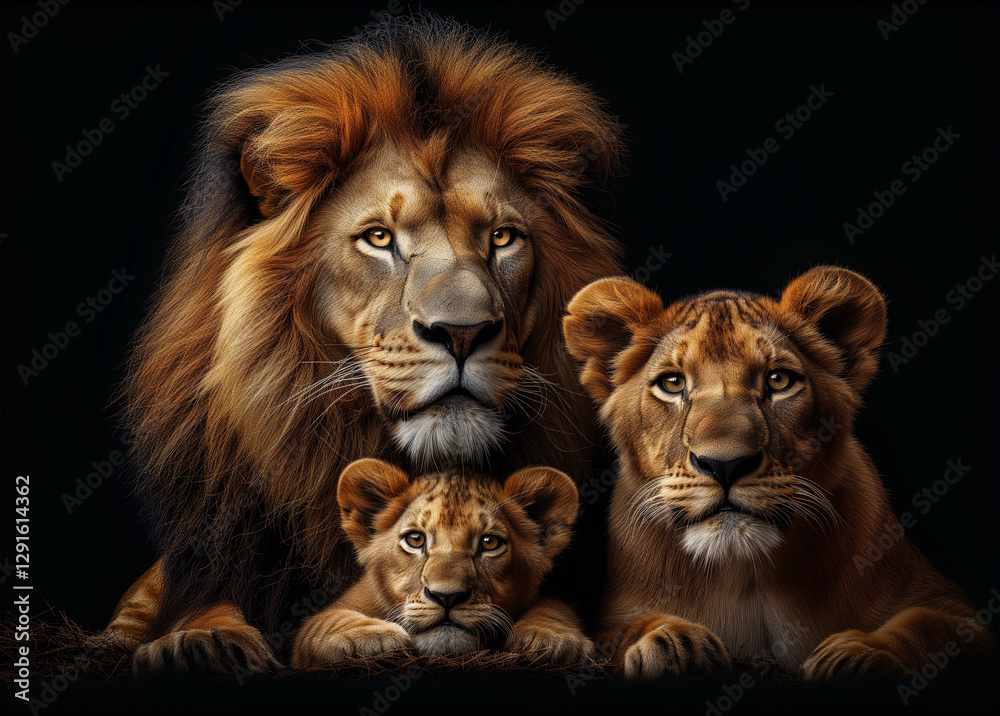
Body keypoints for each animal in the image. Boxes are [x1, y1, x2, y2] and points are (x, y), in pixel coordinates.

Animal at [290, 458, 593, 668]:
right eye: (415, 539)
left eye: (489, 543)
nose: (447, 596)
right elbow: (323, 622)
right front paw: (373, 636)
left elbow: (555, 607)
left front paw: (549, 637)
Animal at [562, 267, 993, 680]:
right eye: (672, 383)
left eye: (779, 380)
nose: (725, 464)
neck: (745, 574)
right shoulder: (610, 619)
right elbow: (625, 630)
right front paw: (671, 642)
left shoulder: (952, 607)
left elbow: (927, 627)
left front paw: (862, 653)